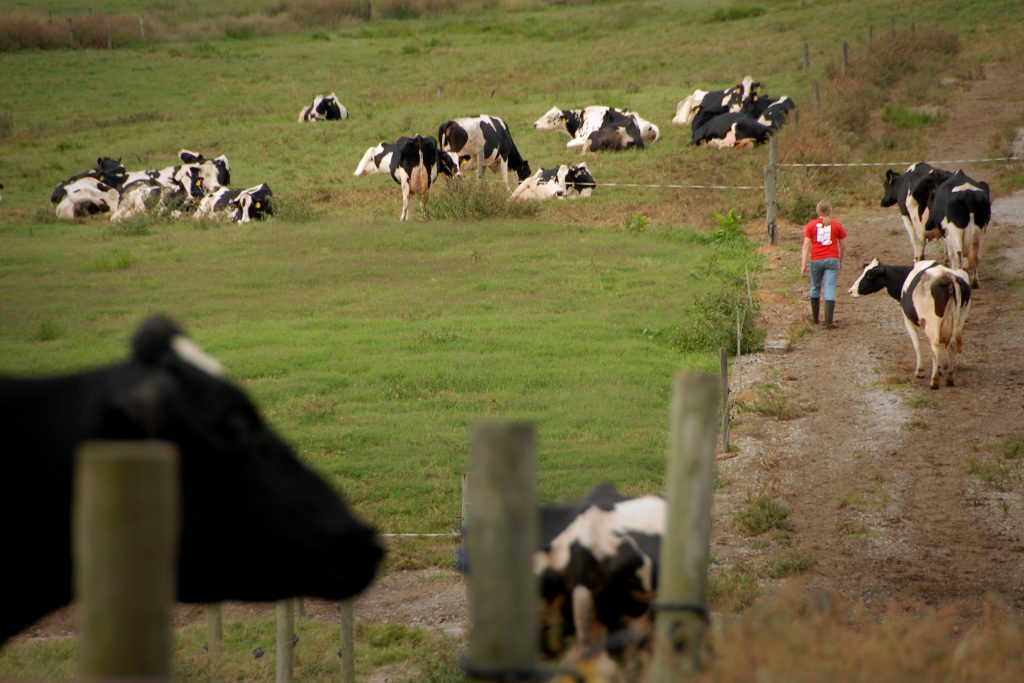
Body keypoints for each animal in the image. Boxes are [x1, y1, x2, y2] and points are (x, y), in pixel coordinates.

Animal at [851, 259, 970, 389]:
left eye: (869, 275)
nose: (851, 290)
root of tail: (949, 277)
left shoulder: (907, 320)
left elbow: (917, 345)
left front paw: (920, 371)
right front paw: (938, 369)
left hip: (933, 324)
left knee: (936, 347)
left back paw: (934, 381)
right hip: (959, 321)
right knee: (951, 345)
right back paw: (949, 378)